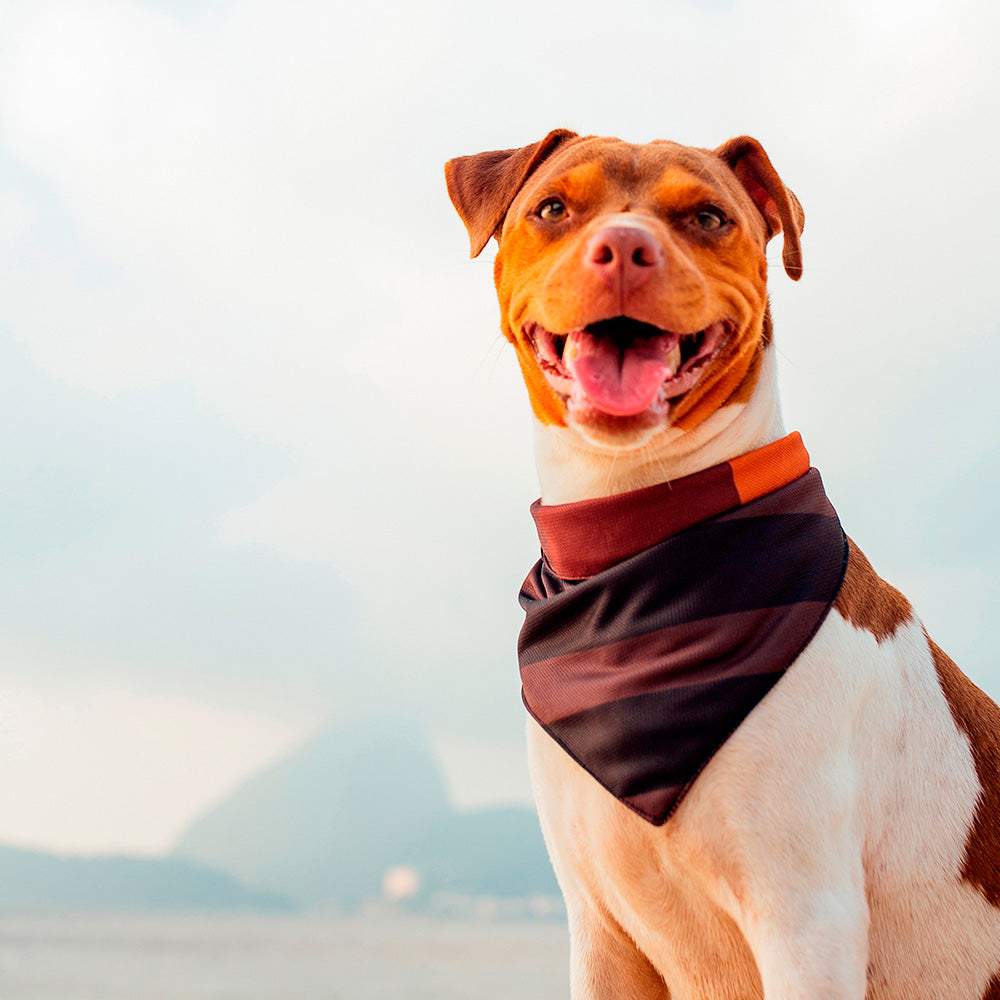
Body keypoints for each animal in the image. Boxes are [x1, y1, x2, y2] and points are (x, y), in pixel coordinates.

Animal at [446, 129, 1000, 996]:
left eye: (707, 217)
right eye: (553, 208)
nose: (623, 248)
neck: (634, 534)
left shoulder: (806, 924)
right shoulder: (601, 935)